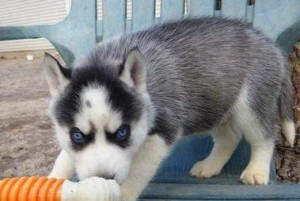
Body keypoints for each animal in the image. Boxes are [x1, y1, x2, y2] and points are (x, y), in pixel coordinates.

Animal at [44, 17, 296, 201]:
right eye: (77, 135)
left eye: (123, 132)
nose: (104, 178)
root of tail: (269, 44)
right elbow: (64, 159)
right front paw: (50, 181)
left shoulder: (163, 131)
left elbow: (137, 172)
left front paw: (121, 194)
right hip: (215, 105)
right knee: (229, 138)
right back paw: (210, 166)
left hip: (250, 106)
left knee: (264, 137)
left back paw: (256, 171)